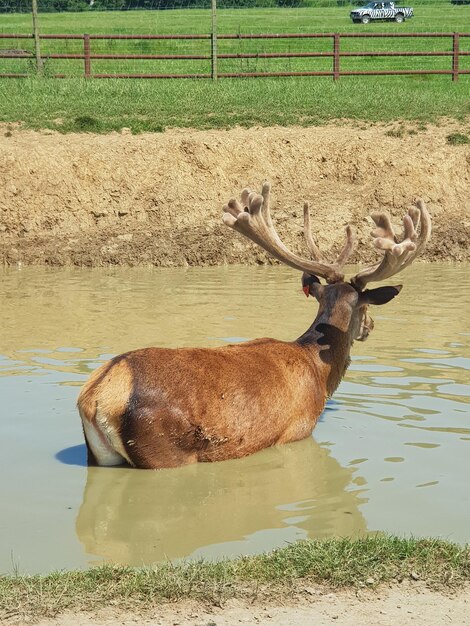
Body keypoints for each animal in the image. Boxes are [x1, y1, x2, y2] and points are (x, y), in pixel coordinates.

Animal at [76, 182, 430, 468]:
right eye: (365, 306)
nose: (370, 327)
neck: (318, 372)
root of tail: (96, 397)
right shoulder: (297, 430)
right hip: (163, 447)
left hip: (99, 456)